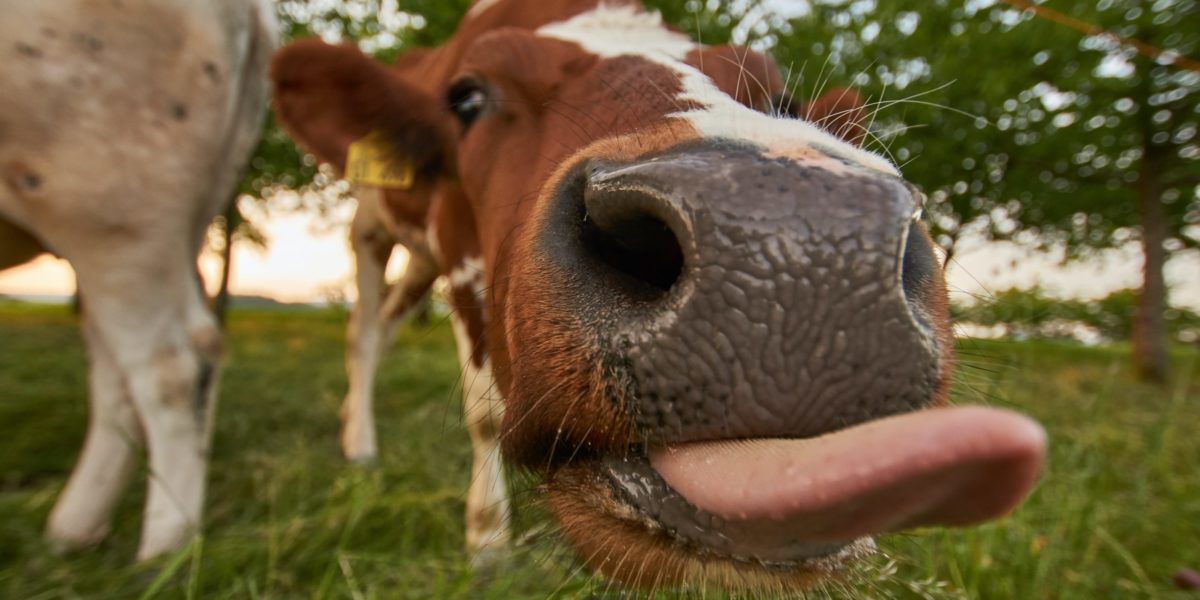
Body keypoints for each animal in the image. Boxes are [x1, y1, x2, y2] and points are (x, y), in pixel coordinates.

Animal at [1, 1, 276, 561]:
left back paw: (164, 551)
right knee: (119, 377)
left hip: (111, 199)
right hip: (171, 221)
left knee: (170, 365)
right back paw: (72, 533)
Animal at [270, 0, 1041, 590]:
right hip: (373, 228)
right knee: (365, 330)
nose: (793, 243)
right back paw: (360, 444)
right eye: (466, 98)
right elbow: (485, 414)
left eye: (781, 99)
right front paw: (485, 543)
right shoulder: (458, 249)